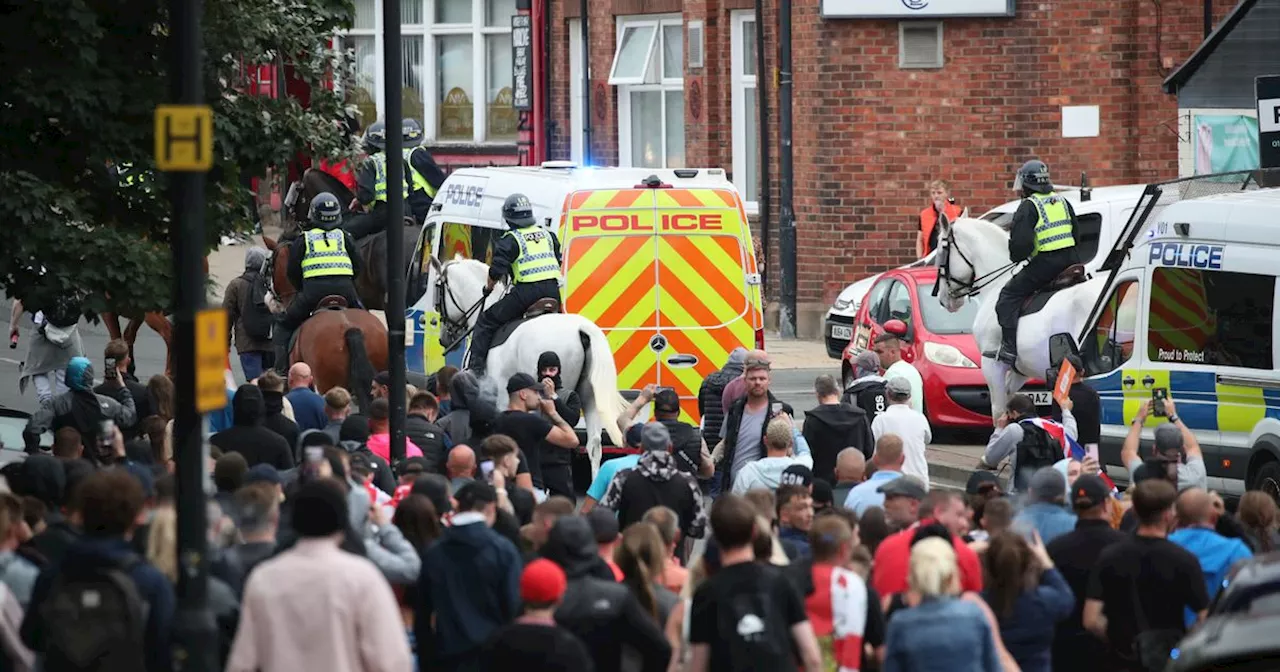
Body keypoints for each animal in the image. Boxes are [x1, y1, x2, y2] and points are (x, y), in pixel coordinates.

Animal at [931, 217, 1111, 422]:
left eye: (940, 250)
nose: (943, 299)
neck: (996, 285)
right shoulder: (1021, 371)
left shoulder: (992, 364)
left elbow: (999, 412)